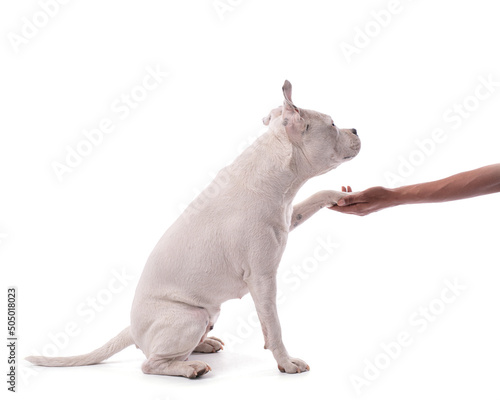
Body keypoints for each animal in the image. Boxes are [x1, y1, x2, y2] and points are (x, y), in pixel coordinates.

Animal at [27, 80, 362, 378]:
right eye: (333, 124)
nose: (357, 129)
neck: (277, 176)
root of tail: (132, 329)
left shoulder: (288, 218)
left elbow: (313, 199)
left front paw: (341, 195)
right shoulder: (262, 279)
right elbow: (273, 326)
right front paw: (287, 363)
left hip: (209, 313)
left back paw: (204, 346)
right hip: (191, 315)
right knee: (151, 363)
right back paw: (190, 368)